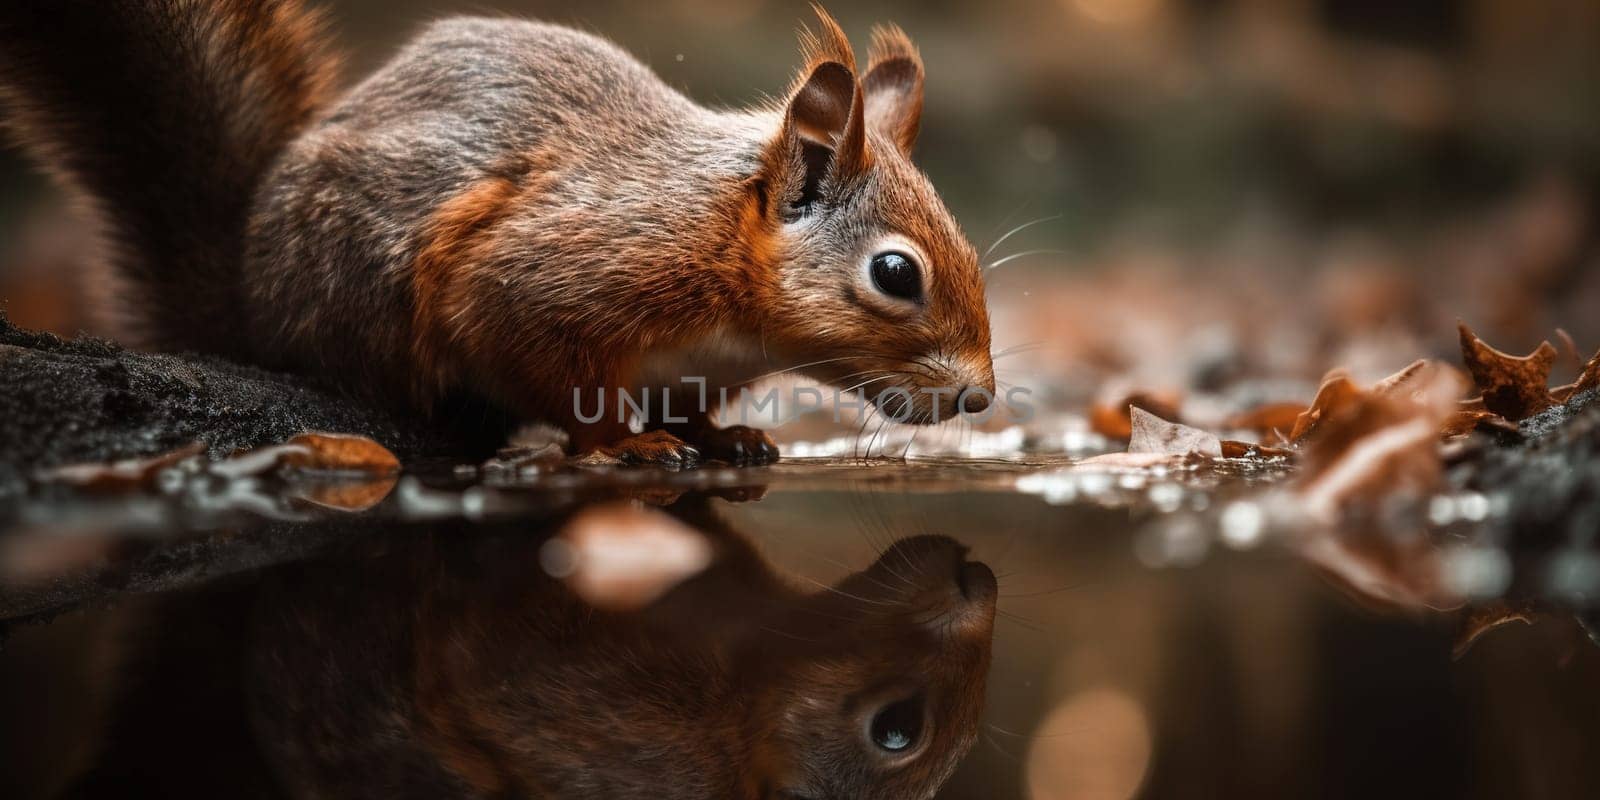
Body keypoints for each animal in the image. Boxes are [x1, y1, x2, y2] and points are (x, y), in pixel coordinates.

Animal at [0, 0, 992, 467]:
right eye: (896, 274)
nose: (980, 396)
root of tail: (246, 302)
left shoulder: (693, 365)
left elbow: (691, 409)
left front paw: (721, 440)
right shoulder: (551, 278)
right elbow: (551, 369)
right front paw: (623, 445)